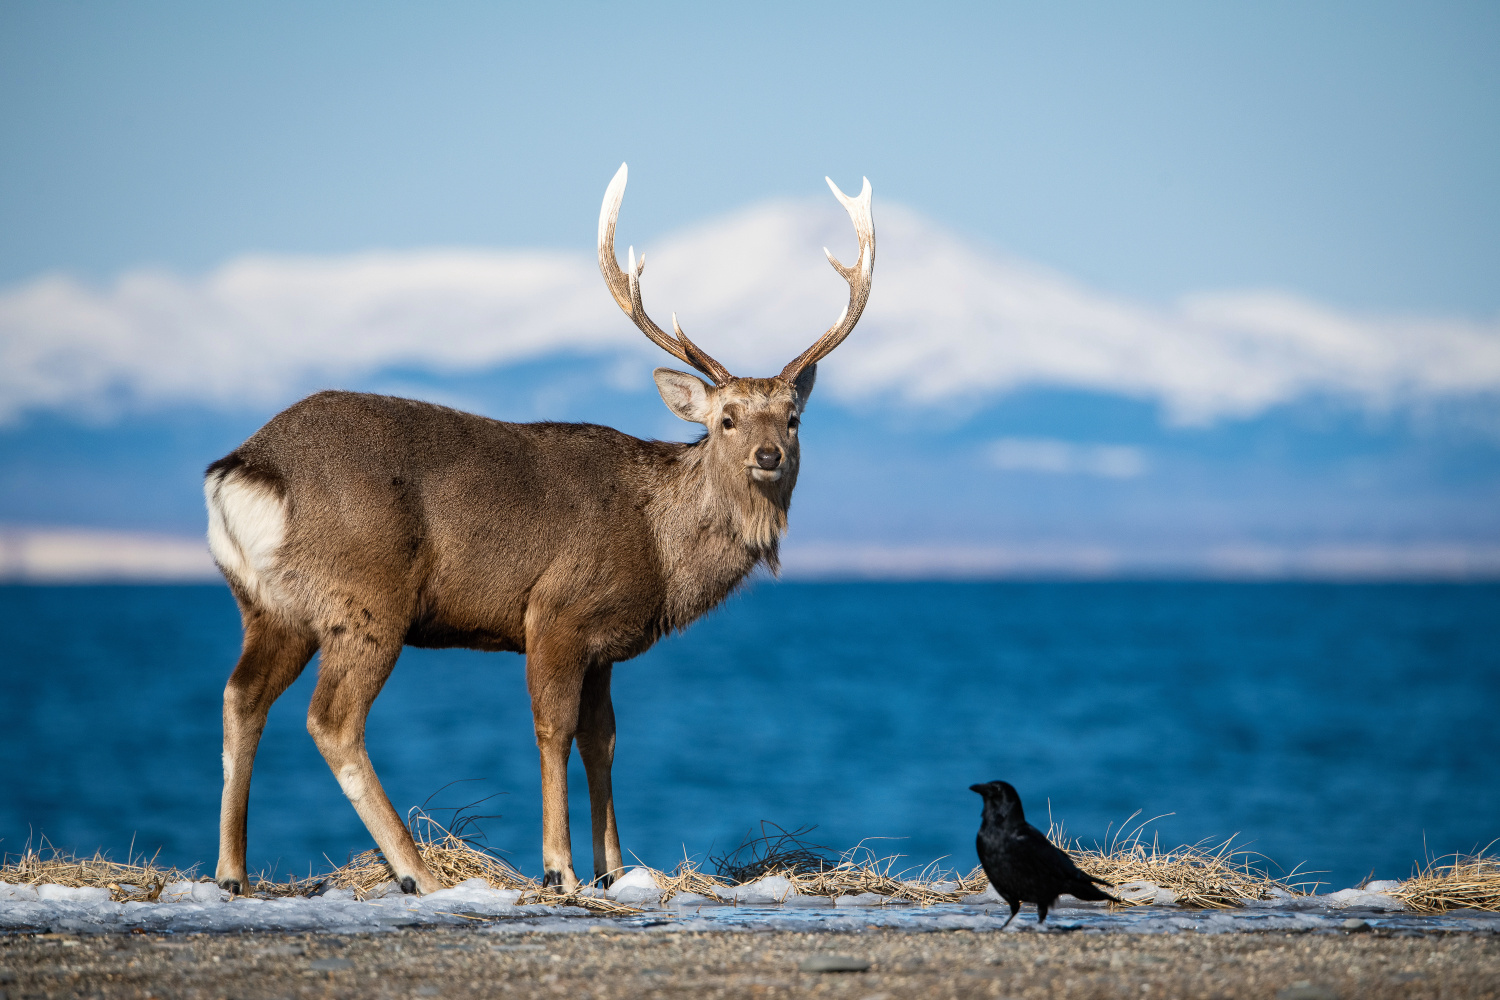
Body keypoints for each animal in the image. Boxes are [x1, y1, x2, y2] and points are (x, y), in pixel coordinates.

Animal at [205, 164, 876, 899]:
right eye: (726, 419)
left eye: (793, 418)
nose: (768, 456)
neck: (658, 548)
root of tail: (247, 468)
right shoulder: (556, 611)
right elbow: (553, 730)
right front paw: (560, 869)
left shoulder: (606, 646)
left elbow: (602, 741)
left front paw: (615, 869)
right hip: (366, 596)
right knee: (332, 720)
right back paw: (417, 872)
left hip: (270, 606)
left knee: (241, 696)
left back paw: (231, 874)